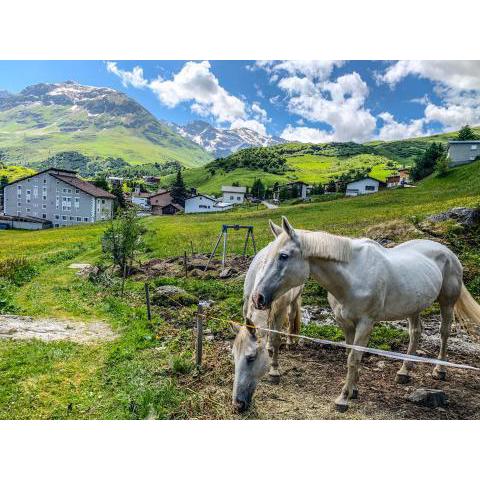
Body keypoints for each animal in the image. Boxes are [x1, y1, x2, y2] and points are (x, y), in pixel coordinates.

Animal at [231, 237, 302, 412]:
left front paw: (274, 370)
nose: (238, 404)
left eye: (251, 358)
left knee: (291, 317)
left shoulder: (280, 310)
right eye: (233, 357)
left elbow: (276, 338)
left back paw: (289, 341)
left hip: (293, 300)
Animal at [251, 216, 480, 410]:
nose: (258, 297)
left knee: (444, 332)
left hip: (447, 302)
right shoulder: (345, 323)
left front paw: (343, 398)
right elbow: (350, 355)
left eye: (283, 256)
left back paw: (439, 370)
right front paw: (353, 390)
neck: (352, 277)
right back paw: (404, 372)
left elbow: (354, 357)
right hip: (413, 307)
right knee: (415, 333)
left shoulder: (365, 323)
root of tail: (447, 251)